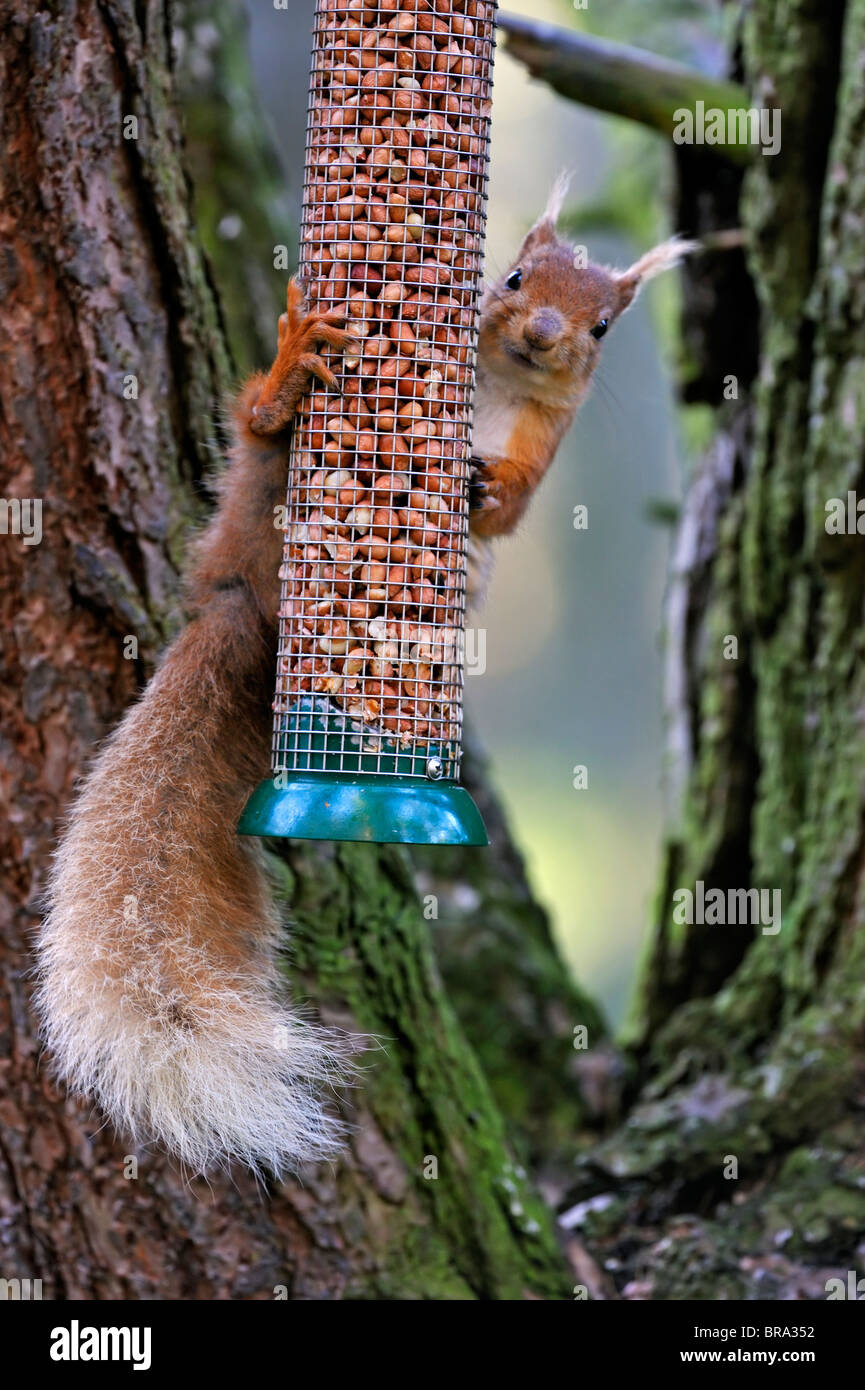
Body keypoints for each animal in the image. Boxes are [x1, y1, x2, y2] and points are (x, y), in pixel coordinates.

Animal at [37, 193, 695, 1173]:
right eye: (512, 278)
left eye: (601, 326)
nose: (543, 334)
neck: (496, 387)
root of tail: (240, 604)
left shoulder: (543, 447)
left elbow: (509, 508)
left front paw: (482, 485)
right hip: (270, 480)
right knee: (259, 425)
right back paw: (287, 373)